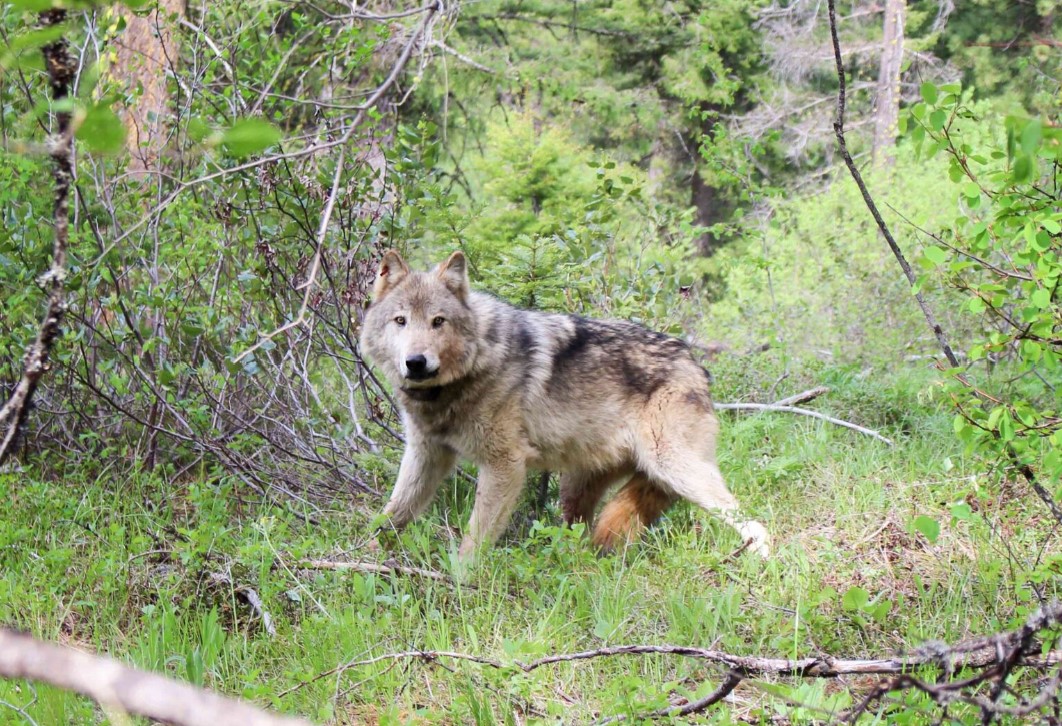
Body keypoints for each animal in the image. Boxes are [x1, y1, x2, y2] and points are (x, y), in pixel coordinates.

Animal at [361, 250, 768, 560]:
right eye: (400, 320)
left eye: (438, 322)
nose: (416, 362)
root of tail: (695, 364)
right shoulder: (426, 455)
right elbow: (389, 516)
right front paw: (361, 559)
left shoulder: (505, 465)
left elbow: (474, 542)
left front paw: (461, 584)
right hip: (577, 490)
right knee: (582, 537)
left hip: (676, 470)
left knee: (755, 523)